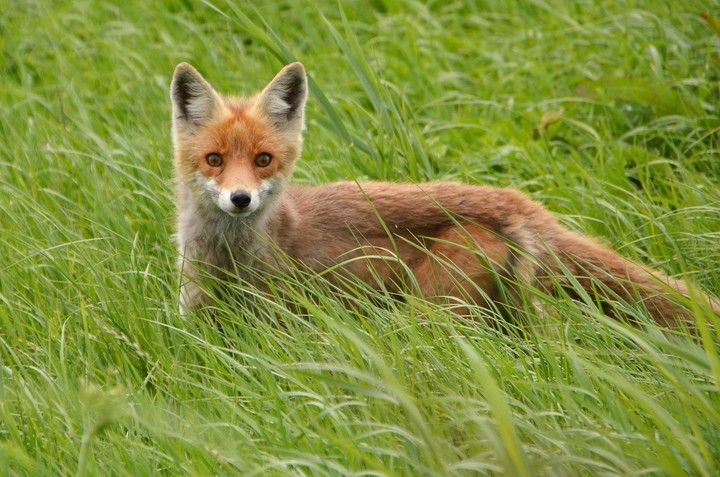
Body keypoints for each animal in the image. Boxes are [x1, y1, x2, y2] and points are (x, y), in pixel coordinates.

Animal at [170, 61, 720, 330]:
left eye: (263, 160)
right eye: (214, 160)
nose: (240, 199)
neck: (228, 257)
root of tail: (514, 199)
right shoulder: (197, 319)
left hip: (433, 312)